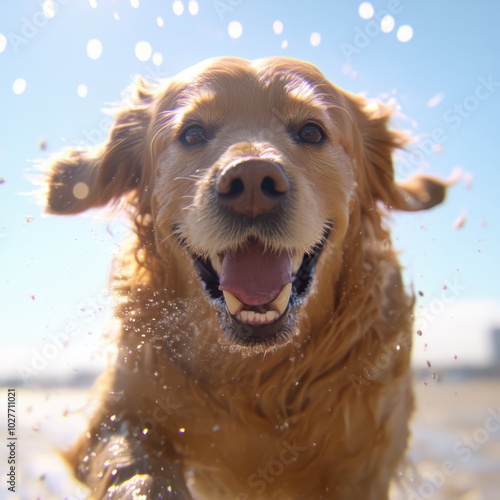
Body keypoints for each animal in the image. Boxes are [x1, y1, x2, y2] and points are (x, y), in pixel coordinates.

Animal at [45, 56, 448, 498]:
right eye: (192, 132)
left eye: (311, 131)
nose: (252, 181)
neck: (254, 374)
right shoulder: (120, 413)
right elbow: (134, 469)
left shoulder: (364, 454)